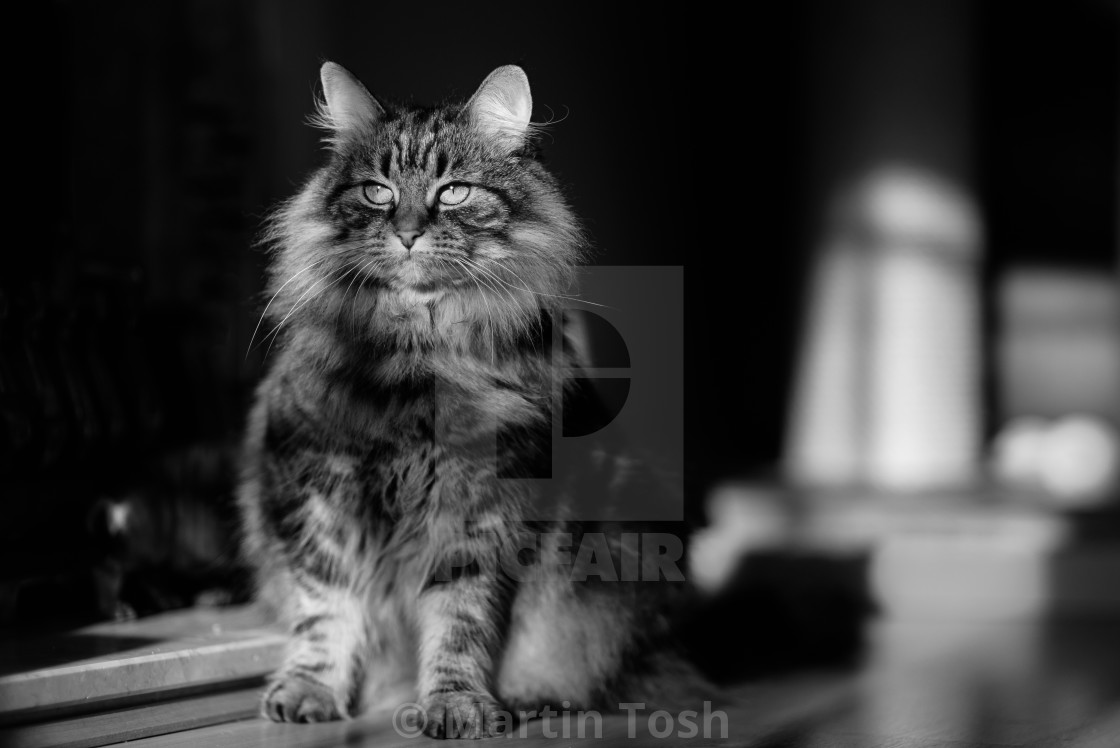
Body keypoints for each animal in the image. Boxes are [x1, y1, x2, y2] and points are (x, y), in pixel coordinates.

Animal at [238, 61, 689, 739]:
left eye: (452, 192)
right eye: (377, 192)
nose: (407, 233)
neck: (412, 364)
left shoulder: (482, 505)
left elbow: (459, 621)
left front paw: (456, 705)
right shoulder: (315, 487)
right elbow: (326, 611)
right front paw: (310, 692)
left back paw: (531, 697)